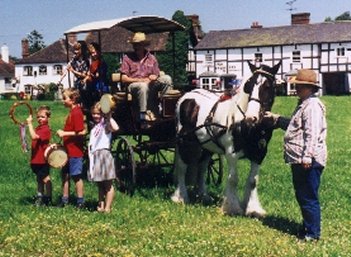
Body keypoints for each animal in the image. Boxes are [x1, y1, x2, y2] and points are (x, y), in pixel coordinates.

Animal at [172, 60, 282, 216]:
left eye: (267, 86)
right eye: (249, 85)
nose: (251, 118)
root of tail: (186, 95)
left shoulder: (259, 154)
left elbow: (253, 181)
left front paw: (252, 208)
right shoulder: (232, 154)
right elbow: (233, 179)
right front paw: (232, 207)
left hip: (206, 146)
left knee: (202, 168)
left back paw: (204, 195)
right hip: (184, 143)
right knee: (182, 167)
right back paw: (180, 197)